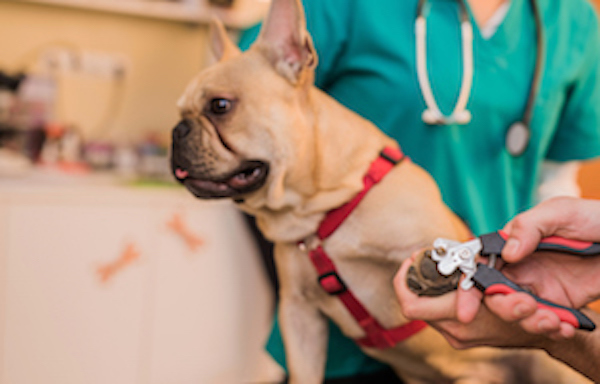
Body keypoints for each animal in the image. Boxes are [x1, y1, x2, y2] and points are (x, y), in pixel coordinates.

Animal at [169, 0, 592, 380]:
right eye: (179, 111)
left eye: (220, 106)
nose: (177, 131)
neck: (323, 206)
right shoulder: (299, 315)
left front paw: (434, 272)